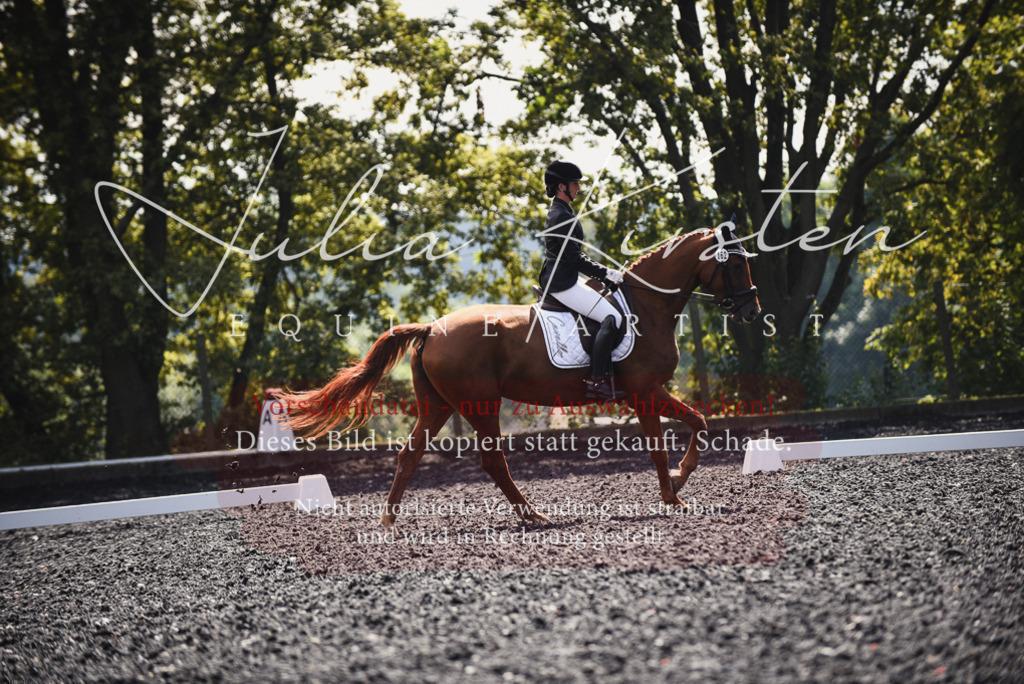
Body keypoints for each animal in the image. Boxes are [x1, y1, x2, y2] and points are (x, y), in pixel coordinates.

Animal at [277, 225, 760, 528]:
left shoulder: (646, 394)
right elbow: (675, 438)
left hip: (440, 405)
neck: (646, 307)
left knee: (410, 456)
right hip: (479, 404)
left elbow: (693, 425)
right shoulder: (644, 392)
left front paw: (676, 485)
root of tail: (432, 328)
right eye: (736, 265)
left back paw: (389, 521)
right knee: (493, 462)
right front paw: (675, 490)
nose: (752, 310)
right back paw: (532, 515)